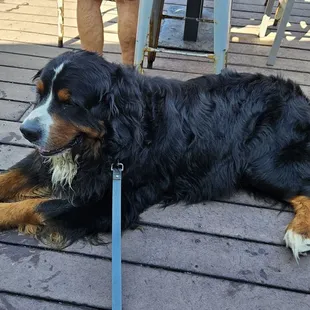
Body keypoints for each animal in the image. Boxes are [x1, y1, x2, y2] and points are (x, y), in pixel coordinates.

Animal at [0, 50, 310, 260]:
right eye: (40, 94)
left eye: (69, 103)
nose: (26, 130)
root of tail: (298, 96)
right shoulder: (47, 160)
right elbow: (11, 176)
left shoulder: (110, 203)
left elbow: (35, 206)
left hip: (264, 164)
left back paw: (299, 232)